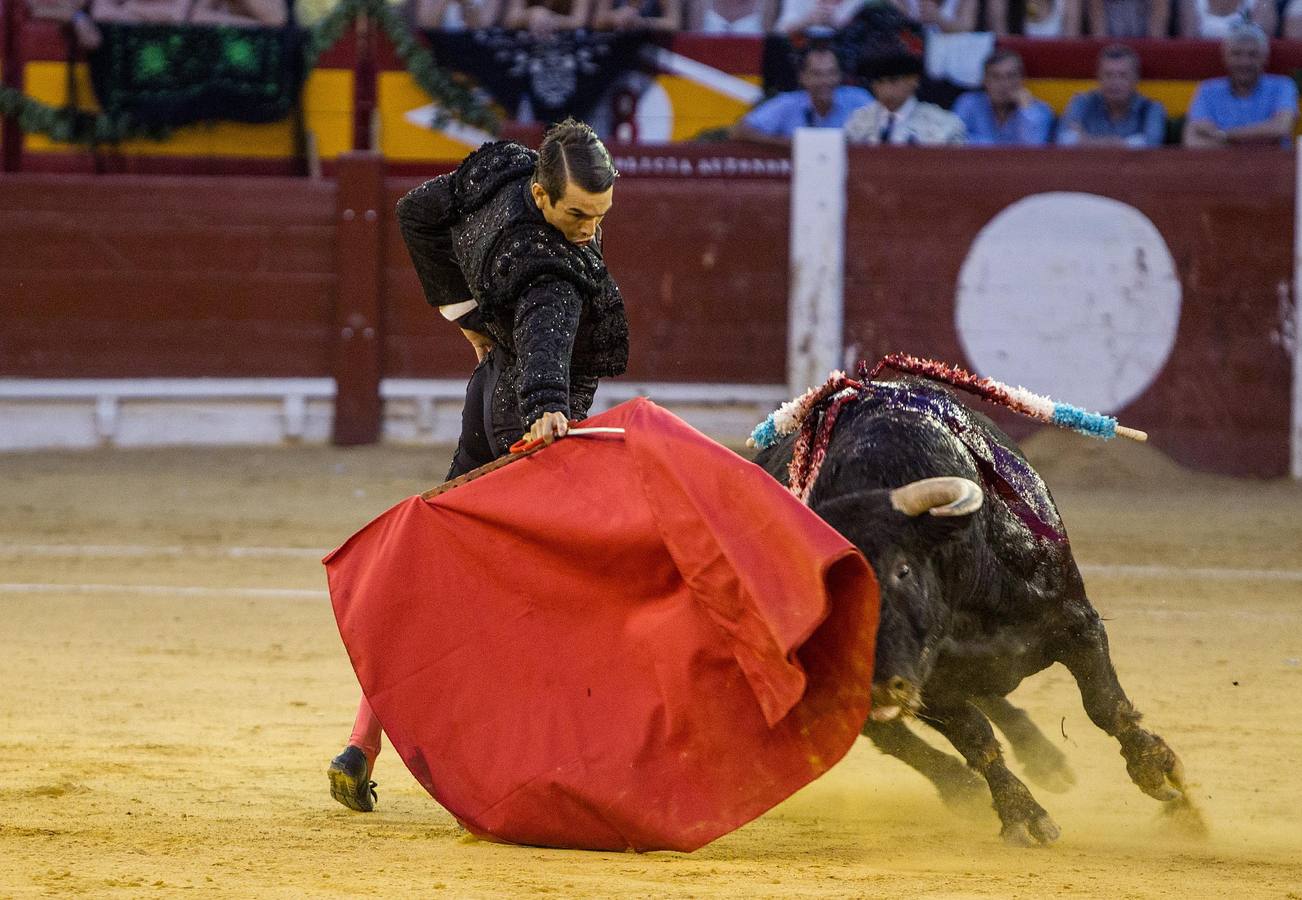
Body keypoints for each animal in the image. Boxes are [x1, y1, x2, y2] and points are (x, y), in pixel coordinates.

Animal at [755, 377, 1192, 849]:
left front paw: (1160, 773)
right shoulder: (931, 685)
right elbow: (976, 739)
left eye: (903, 569)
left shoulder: (1076, 621)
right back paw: (964, 789)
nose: (877, 685)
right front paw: (1023, 815)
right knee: (895, 735)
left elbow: (1105, 704)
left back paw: (1046, 761)